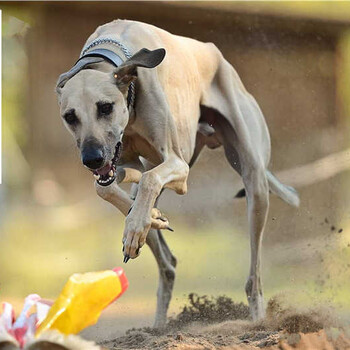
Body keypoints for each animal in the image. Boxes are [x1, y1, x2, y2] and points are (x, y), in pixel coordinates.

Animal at [56, 19, 300, 328]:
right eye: (70, 116)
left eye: (105, 107)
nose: (91, 159)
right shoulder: (125, 162)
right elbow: (108, 187)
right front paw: (147, 219)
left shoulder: (177, 166)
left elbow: (146, 181)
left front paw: (138, 225)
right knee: (167, 263)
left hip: (254, 182)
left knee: (253, 278)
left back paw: (258, 321)